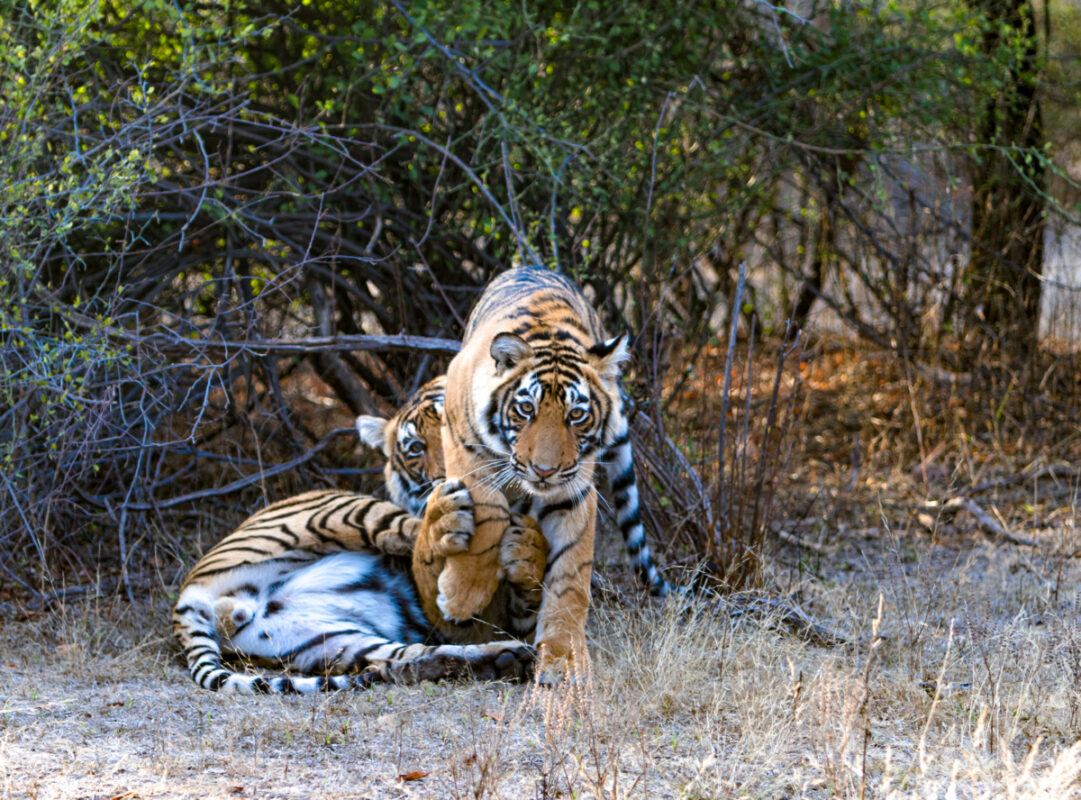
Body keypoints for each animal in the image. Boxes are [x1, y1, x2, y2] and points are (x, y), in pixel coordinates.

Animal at [178, 378, 553, 691]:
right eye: (415, 448)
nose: (447, 476)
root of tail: (190, 597)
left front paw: (526, 546)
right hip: (335, 507)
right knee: (408, 538)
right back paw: (442, 522)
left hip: (327, 639)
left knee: (407, 659)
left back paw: (505, 660)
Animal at [419, 267, 665, 683]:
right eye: (526, 409)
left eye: (576, 415)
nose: (543, 470)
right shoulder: (465, 449)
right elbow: (488, 516)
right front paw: (462, 596)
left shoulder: (574, 490)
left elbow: (570, 578)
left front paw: (563, 658)